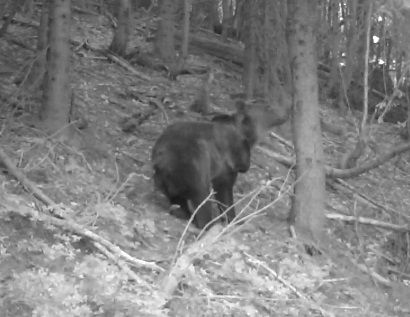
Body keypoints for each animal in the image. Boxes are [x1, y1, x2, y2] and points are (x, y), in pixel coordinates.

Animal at [151, 100, 286, 228]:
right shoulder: (229, 160)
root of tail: (162, 157)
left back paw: (181, 211)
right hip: (192, 161)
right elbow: (224, 191)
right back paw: (206, 222)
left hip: (164, 175)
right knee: (200, 192)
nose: (285, 114)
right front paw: (233, 218)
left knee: (176, 197)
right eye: (268, 106)